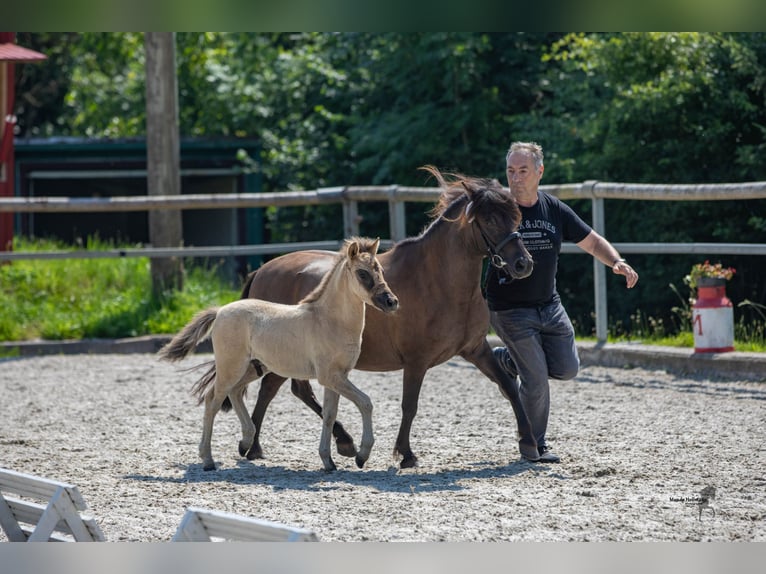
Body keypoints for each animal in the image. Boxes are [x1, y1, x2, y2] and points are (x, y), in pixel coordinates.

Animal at [158, 238, 400, 472]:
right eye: (362, 273)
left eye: (381, 270)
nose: (391, 302)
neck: (329, 321)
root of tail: (220, 311)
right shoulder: (330, 377)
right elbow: (366, 403)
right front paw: (361, 456)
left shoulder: (337, 377)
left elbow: (330, 415)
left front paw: (329, 461)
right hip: (231, 367)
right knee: (213, 401)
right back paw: (208, 460)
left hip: (253, 367)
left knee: (235, 392)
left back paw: (245, 442)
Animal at [218, 165, 540, 468]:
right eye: (489, 220)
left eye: (516, 218)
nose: (522, 264)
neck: (437, 280)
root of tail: (263, 270)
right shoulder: (416, 360)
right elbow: (410, 405)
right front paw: (405, 454)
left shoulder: (475, 349)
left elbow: (509, 386)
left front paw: (530, 443)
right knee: (275, 390)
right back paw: (279, 444)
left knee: (287, 390)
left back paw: (273, 445)